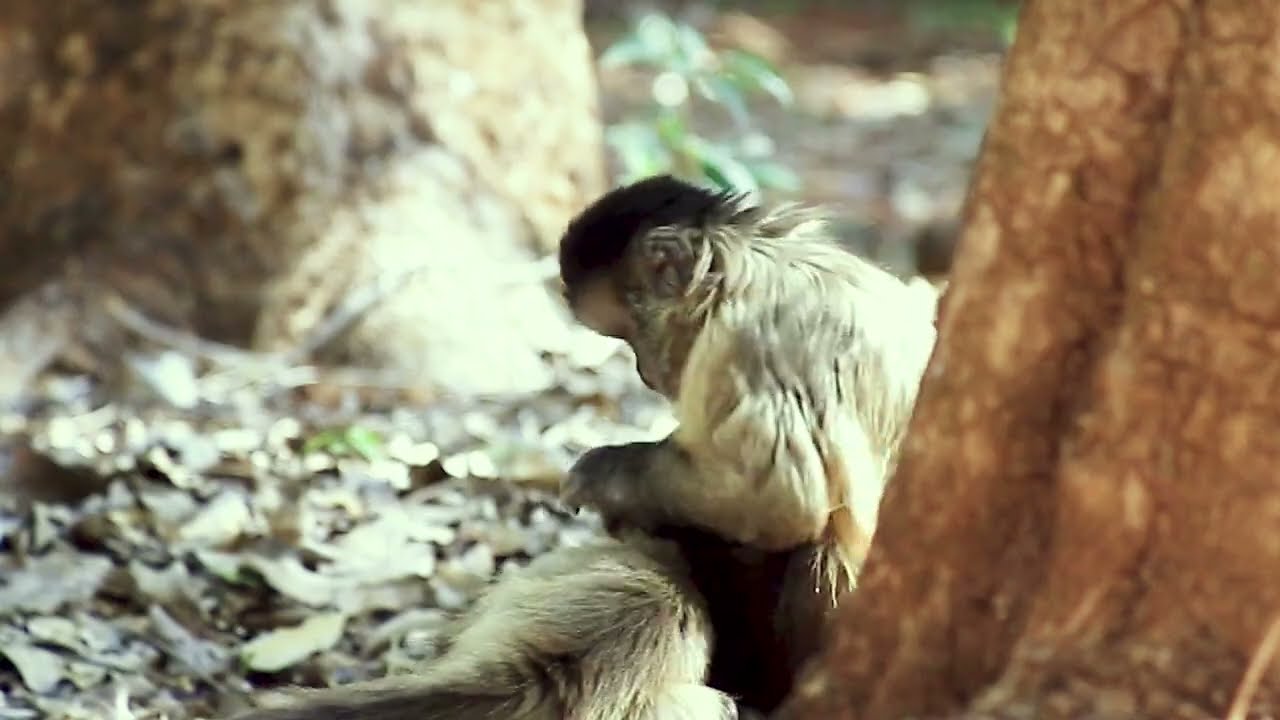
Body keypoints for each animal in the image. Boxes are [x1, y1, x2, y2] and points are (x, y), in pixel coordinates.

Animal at [560, 172, 942, 696]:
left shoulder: (746, 342)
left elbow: (782, 502)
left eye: (630, 334)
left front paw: (606, 475)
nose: (642, 370)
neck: (745, 266)